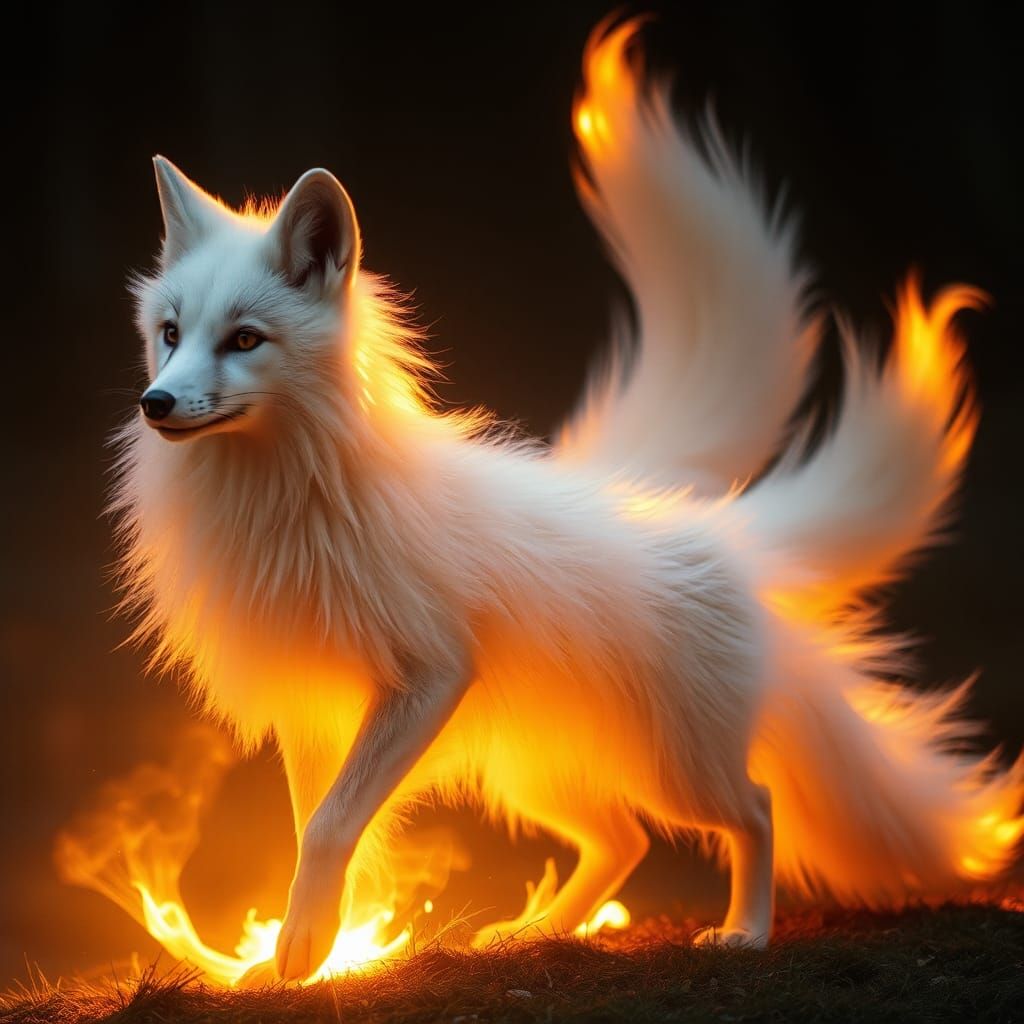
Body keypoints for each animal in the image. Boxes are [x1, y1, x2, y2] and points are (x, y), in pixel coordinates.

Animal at [114, 19, 1022, 981]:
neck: (288, 496)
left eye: (245, 341)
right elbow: (322, 832)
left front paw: (307, 951)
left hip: (673, 769)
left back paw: (745, 932)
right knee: (625, 841)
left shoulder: (430, 674)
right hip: (536, 773)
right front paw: (318, 952)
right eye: (170, 333)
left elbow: (330, 829)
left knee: (753, 809)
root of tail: (725, 531)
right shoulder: (312, 708)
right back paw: (539, 932)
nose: (156, 404)